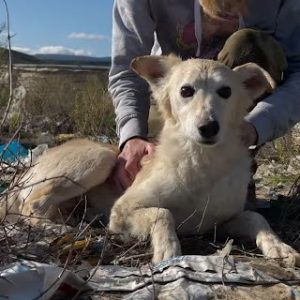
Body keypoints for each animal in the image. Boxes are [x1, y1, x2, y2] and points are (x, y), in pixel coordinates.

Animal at [2, 55, 300, 266]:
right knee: (32, 204)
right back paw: (60, 228)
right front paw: (169, 251)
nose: (208, 128)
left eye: (225, 92)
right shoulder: (122, 211)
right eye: (186, 91)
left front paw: (280, 246)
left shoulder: (223, 221)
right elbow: (162, 212)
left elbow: (257, 218)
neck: (201, 162)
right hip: (100, 157)